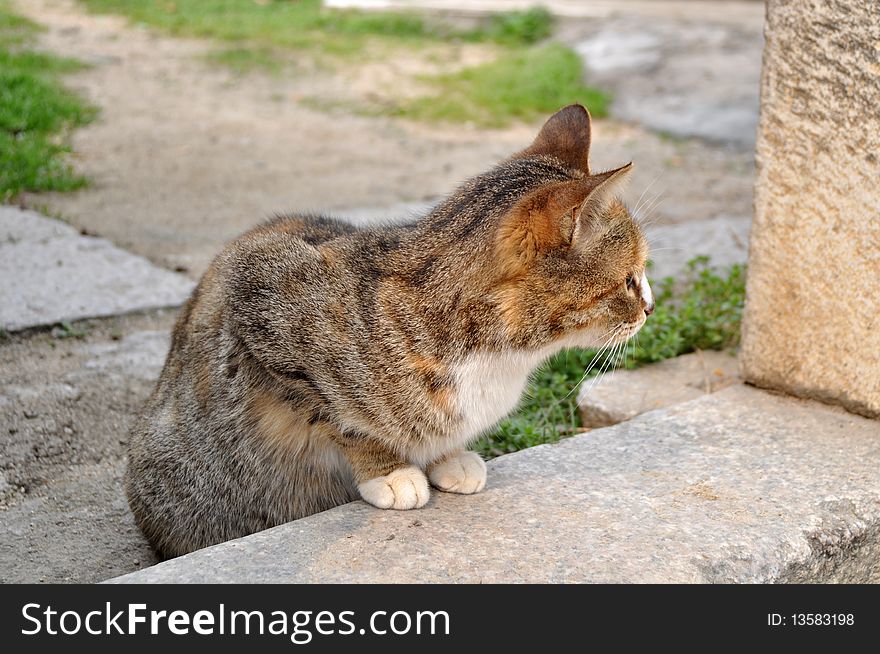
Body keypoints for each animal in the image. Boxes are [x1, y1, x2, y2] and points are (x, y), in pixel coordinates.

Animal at [127, 104, 656, 560]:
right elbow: (339, 418)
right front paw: (390, 469)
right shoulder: (256, 291)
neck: (496, 358)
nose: (651, 308)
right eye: (630, 278)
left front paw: (448, 456)